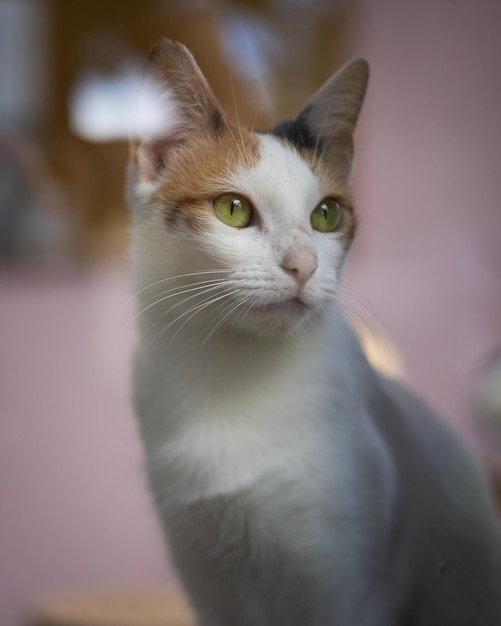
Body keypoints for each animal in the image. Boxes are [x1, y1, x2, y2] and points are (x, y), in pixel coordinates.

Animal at [127, 39, 500, 624]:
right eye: (232, 209)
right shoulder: (210, 586)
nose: (304, 265)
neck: (234, 377)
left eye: (326, 215)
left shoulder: (346, 590)